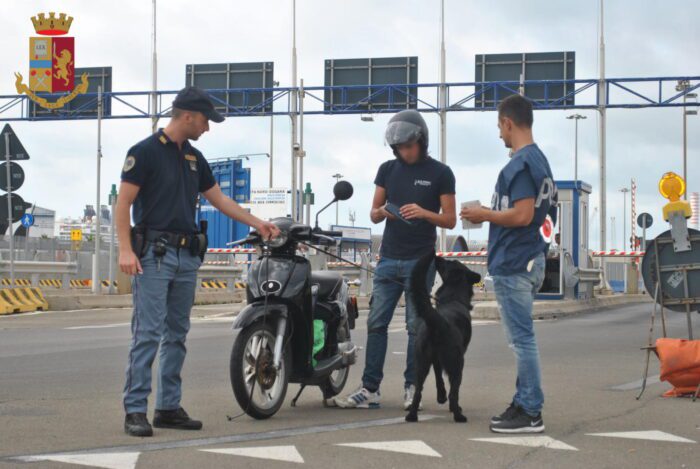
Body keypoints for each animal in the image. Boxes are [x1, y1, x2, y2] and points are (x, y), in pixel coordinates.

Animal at [404, 250, 482, 422]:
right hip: (458, 363)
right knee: (454, 392)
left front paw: (441, 396)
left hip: (421, 363)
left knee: (418, 392)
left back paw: (412, 415)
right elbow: (452, 389)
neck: (453, 297)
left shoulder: (435, 360)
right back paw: (458, 415)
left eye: (448, 262)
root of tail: (437, 321)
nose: (438, 257)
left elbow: (438, 377)